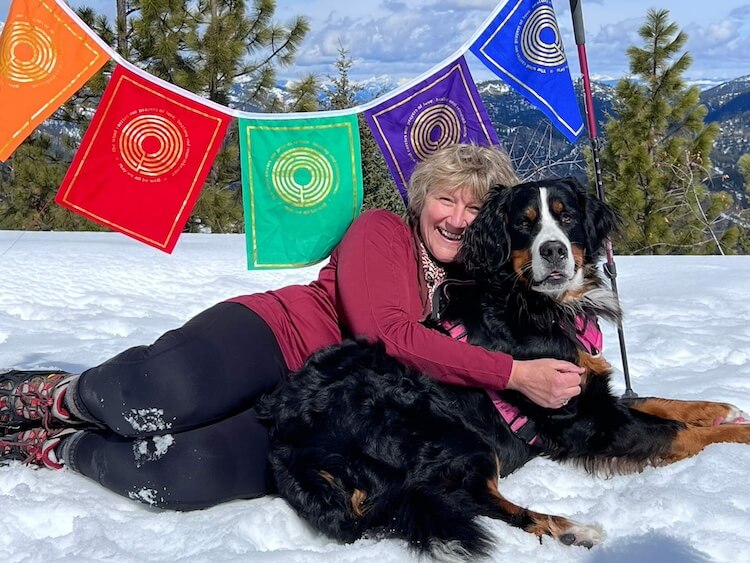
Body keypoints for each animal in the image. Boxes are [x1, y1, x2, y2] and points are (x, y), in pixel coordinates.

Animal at [256, 176, 748, 560]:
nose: (553, 251)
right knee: (466, 499)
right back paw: (572, 530)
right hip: (451, 434)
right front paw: (738, 432)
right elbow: (679, 433)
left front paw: (718, 408)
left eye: (567, 217)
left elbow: (663, 402)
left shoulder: (594, 394)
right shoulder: (584, 420)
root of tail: (285, 436)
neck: (540, 306)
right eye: (524, 223)